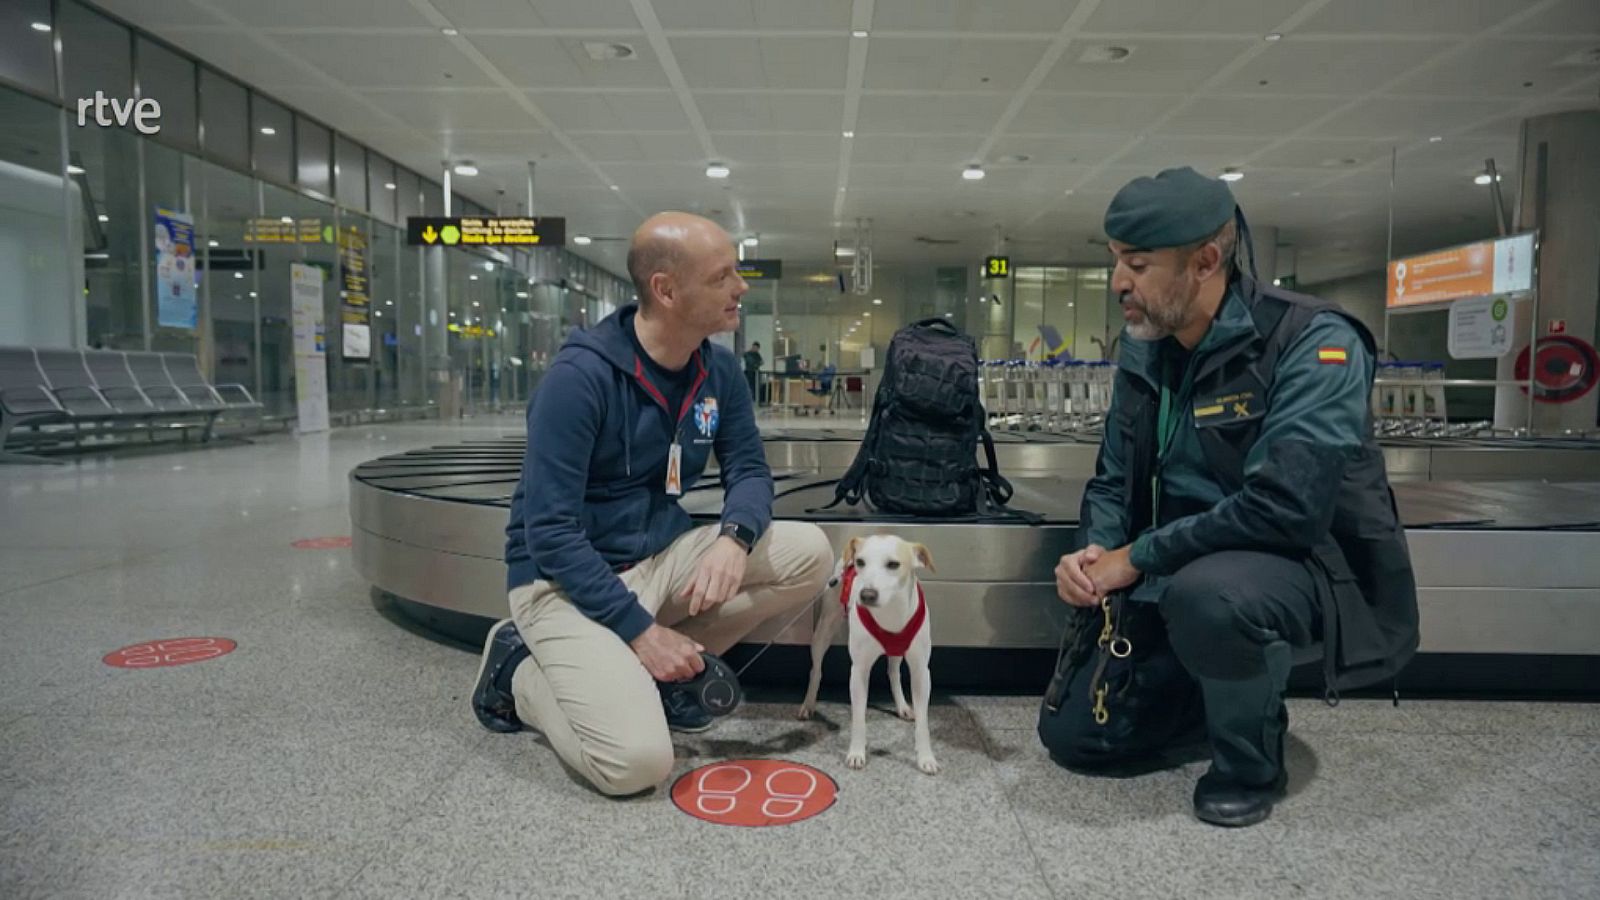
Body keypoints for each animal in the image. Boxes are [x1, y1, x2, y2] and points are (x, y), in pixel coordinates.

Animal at [800, 531, 934, 771]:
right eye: (861, 562)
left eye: (893, 564)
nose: (867, 595)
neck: (890, 613)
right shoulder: (859, 671)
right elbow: (859, 718)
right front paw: (856, 753)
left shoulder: (921, 672)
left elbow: (923, 721)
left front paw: (926, 757)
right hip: (824, 629)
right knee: (816, 670)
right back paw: (808, 703)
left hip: (897, 651)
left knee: (893, 672)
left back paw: (902, 706)